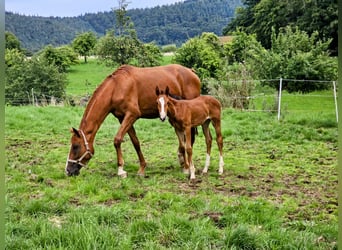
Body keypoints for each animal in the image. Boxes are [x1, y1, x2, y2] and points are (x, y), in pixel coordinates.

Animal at [66, 64, 200, 178]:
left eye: (75, 146)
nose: (68, 171)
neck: (116, 87)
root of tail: (192, 72)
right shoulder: (123, 118)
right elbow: (135, 142)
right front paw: (142, 168)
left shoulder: (132, 115)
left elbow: (117, 140)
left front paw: (121, 170)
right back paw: (182, 161)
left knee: (190, 139)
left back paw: (187, 166)